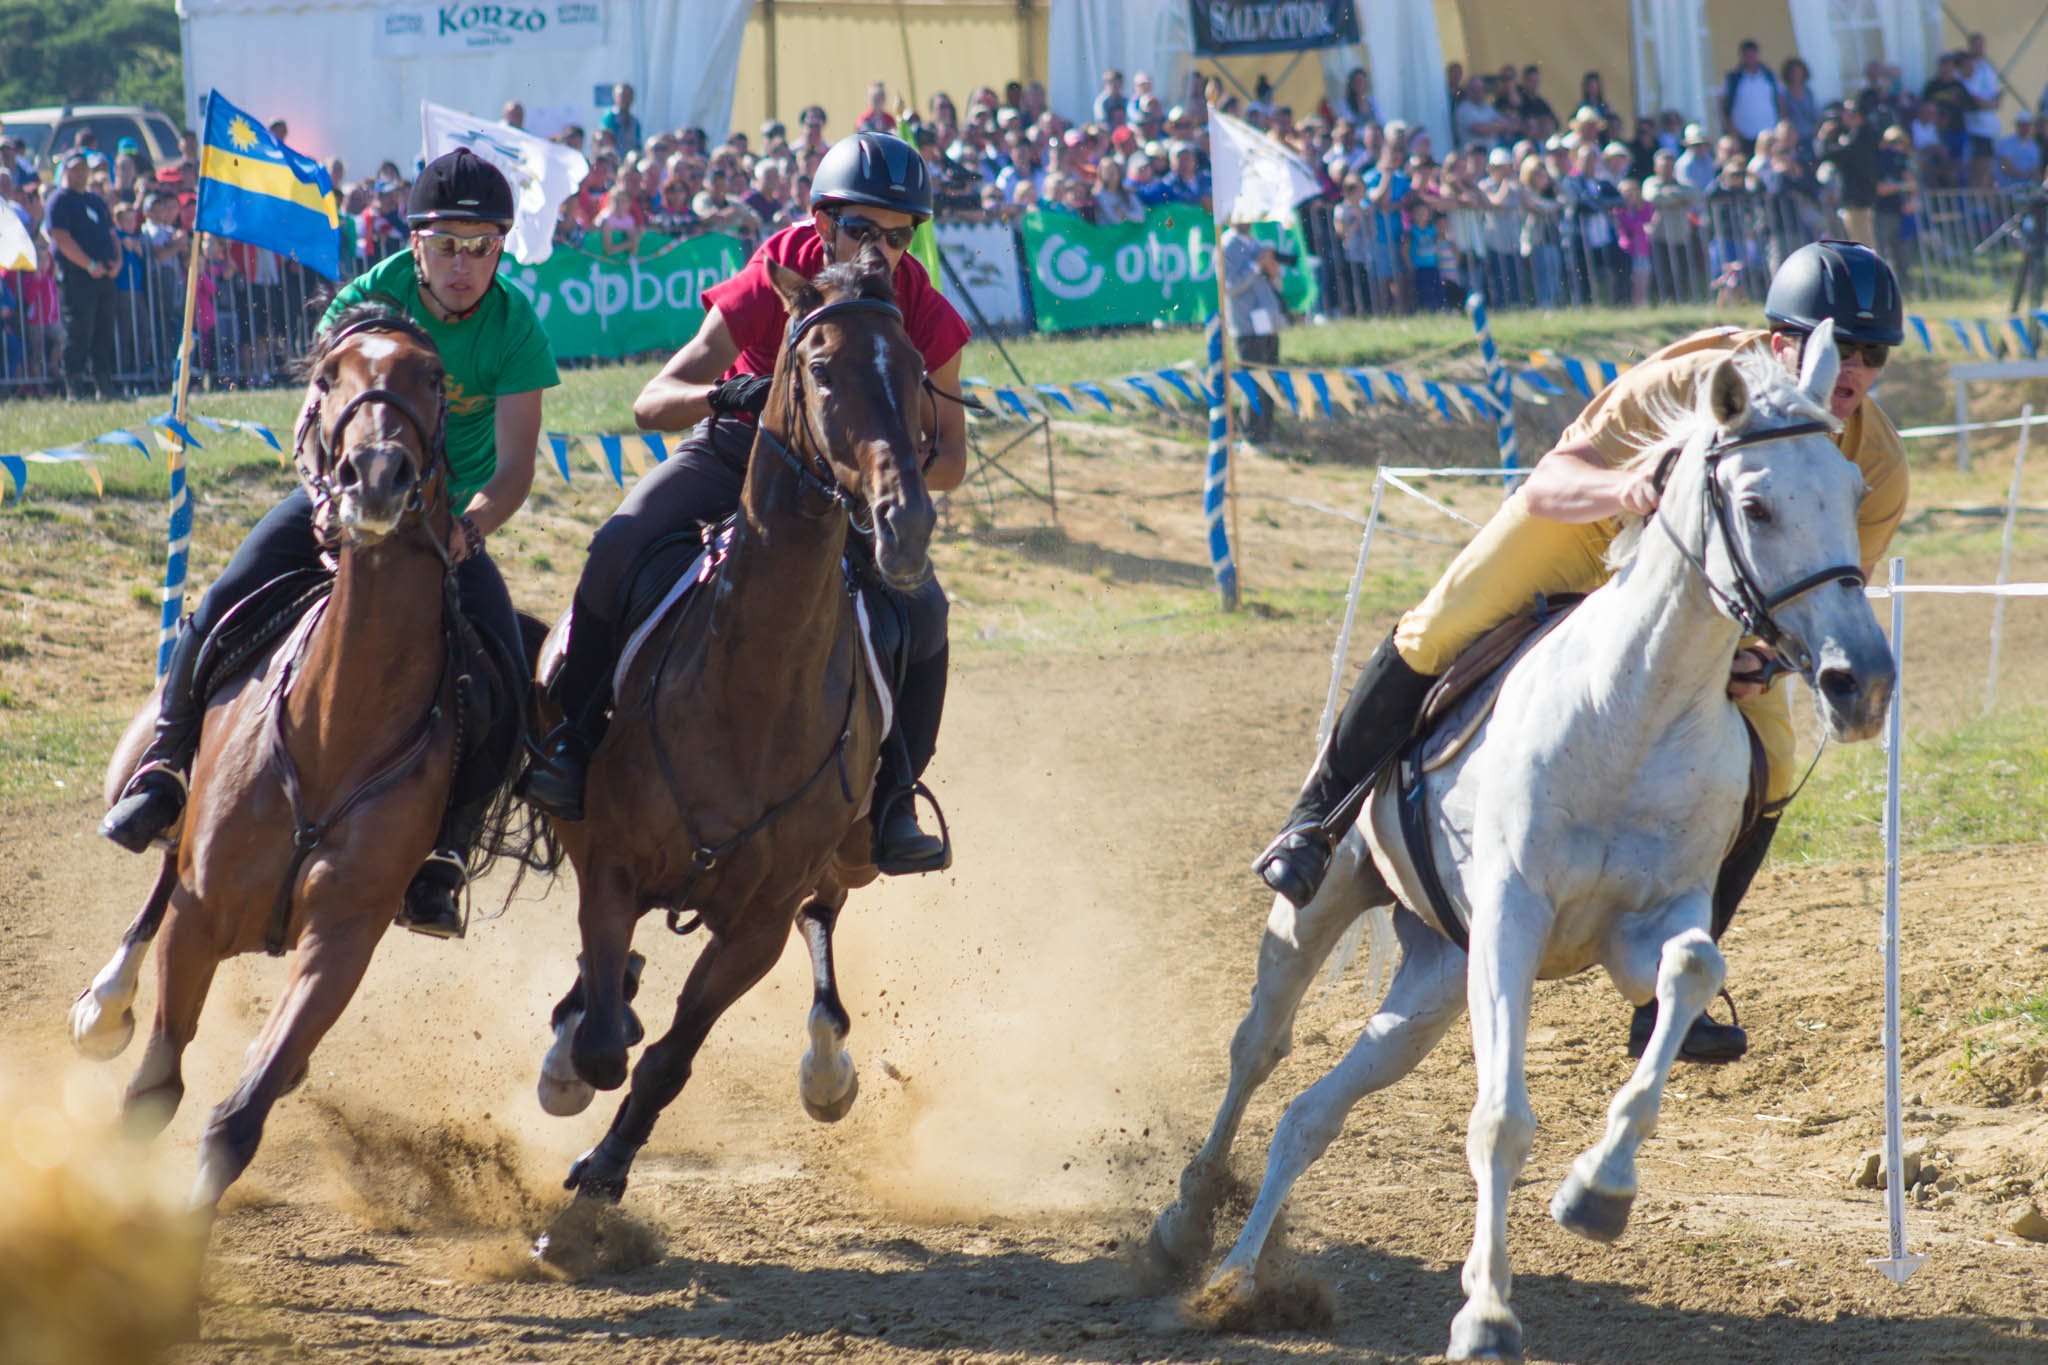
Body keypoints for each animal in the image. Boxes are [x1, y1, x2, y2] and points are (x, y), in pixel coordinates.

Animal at [71, 309, 495, 1203]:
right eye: (330, 375)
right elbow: (153, 1088)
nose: (377, 474)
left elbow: (240, 1114)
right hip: (165, 806)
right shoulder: (199, 913)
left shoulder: (342, 939)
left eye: (434, 378)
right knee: (160, 848)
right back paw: (104, 1000)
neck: (338, 727)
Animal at [536, 248, 937, 1203]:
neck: (752, 687)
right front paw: (575, 1060)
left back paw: (827, 1063)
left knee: (825, 914)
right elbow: (603, 1039)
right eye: (820, 369)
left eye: (914, 373)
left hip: (854, 851)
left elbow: (668, 1058)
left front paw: (607, 1167)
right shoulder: (611, 864)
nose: (904, 524)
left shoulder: (758, 919)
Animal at [1155, 325, 1900, 1358]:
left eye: (1855, 492)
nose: (1859, 679)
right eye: (1756, 503)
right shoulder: (1511, 917)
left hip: (1433, 982)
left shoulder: (1642, 926)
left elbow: (1691, 971)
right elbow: (1499, 1121)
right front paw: (1486, 1313)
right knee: (1258, 1048)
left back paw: (1237, 1275)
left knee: (1311, 1113)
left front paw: (1599, 1191)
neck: (1635, 706)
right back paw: (1188, 1221)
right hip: (1325, 908)